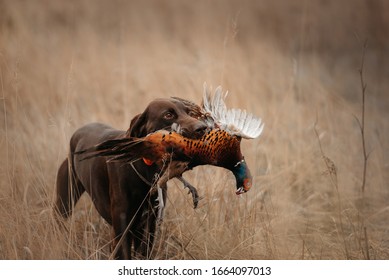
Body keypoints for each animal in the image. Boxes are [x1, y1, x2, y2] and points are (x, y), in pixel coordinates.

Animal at [55, 97, 206, 260]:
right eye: (168, 115)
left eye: (189, 112)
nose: (202, 128)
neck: (146, 171)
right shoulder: (123, 227)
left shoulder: (149, 227)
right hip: (64, 203)